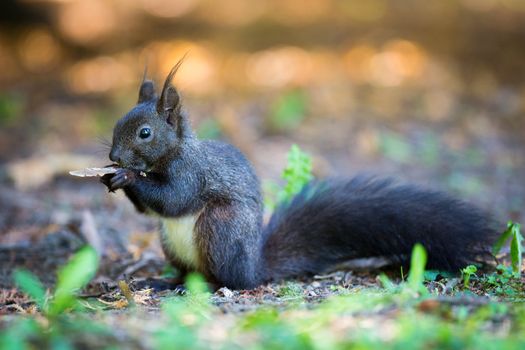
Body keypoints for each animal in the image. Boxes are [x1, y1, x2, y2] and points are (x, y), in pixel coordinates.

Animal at [100, 62, 498, 290]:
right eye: (117, 123)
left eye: (145, 133)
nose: (114, 157)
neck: (171, 155)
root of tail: (254, 268)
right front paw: (112, 176)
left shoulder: (192, 174)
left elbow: (174, 199)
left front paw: (127, 178)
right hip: (171, 243)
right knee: (190, 273)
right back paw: (165, 282)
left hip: (220, 228)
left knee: (229, 282)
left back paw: (209, 286)